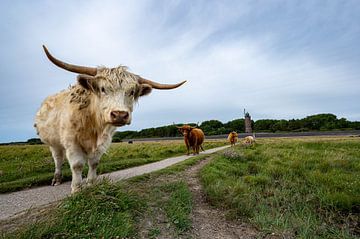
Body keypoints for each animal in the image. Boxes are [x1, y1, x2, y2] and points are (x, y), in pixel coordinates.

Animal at [34, 45, 186, 193]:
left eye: (131, 92)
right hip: (53, 143)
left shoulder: (103, 141)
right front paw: (76, 189)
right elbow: (77, 165)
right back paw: (57, 179)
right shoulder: (71, 141)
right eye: (102, 89)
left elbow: (94, 163)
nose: (120, 114)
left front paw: (90, 184)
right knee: (58, 159)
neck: (93, 123)